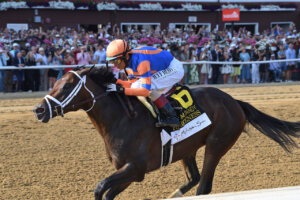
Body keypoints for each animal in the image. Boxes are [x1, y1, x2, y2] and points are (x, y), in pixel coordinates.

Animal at [34, 67, 300, 200]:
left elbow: (100, 188)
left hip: (217, 144)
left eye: (67, 86)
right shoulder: (130, 172)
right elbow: (108, 192)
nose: (38, 110)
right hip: (186, 150)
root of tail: (235, 102)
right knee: (193, 178)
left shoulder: (135, 168)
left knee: (204, 186)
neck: (121, 120)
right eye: (54, 83)